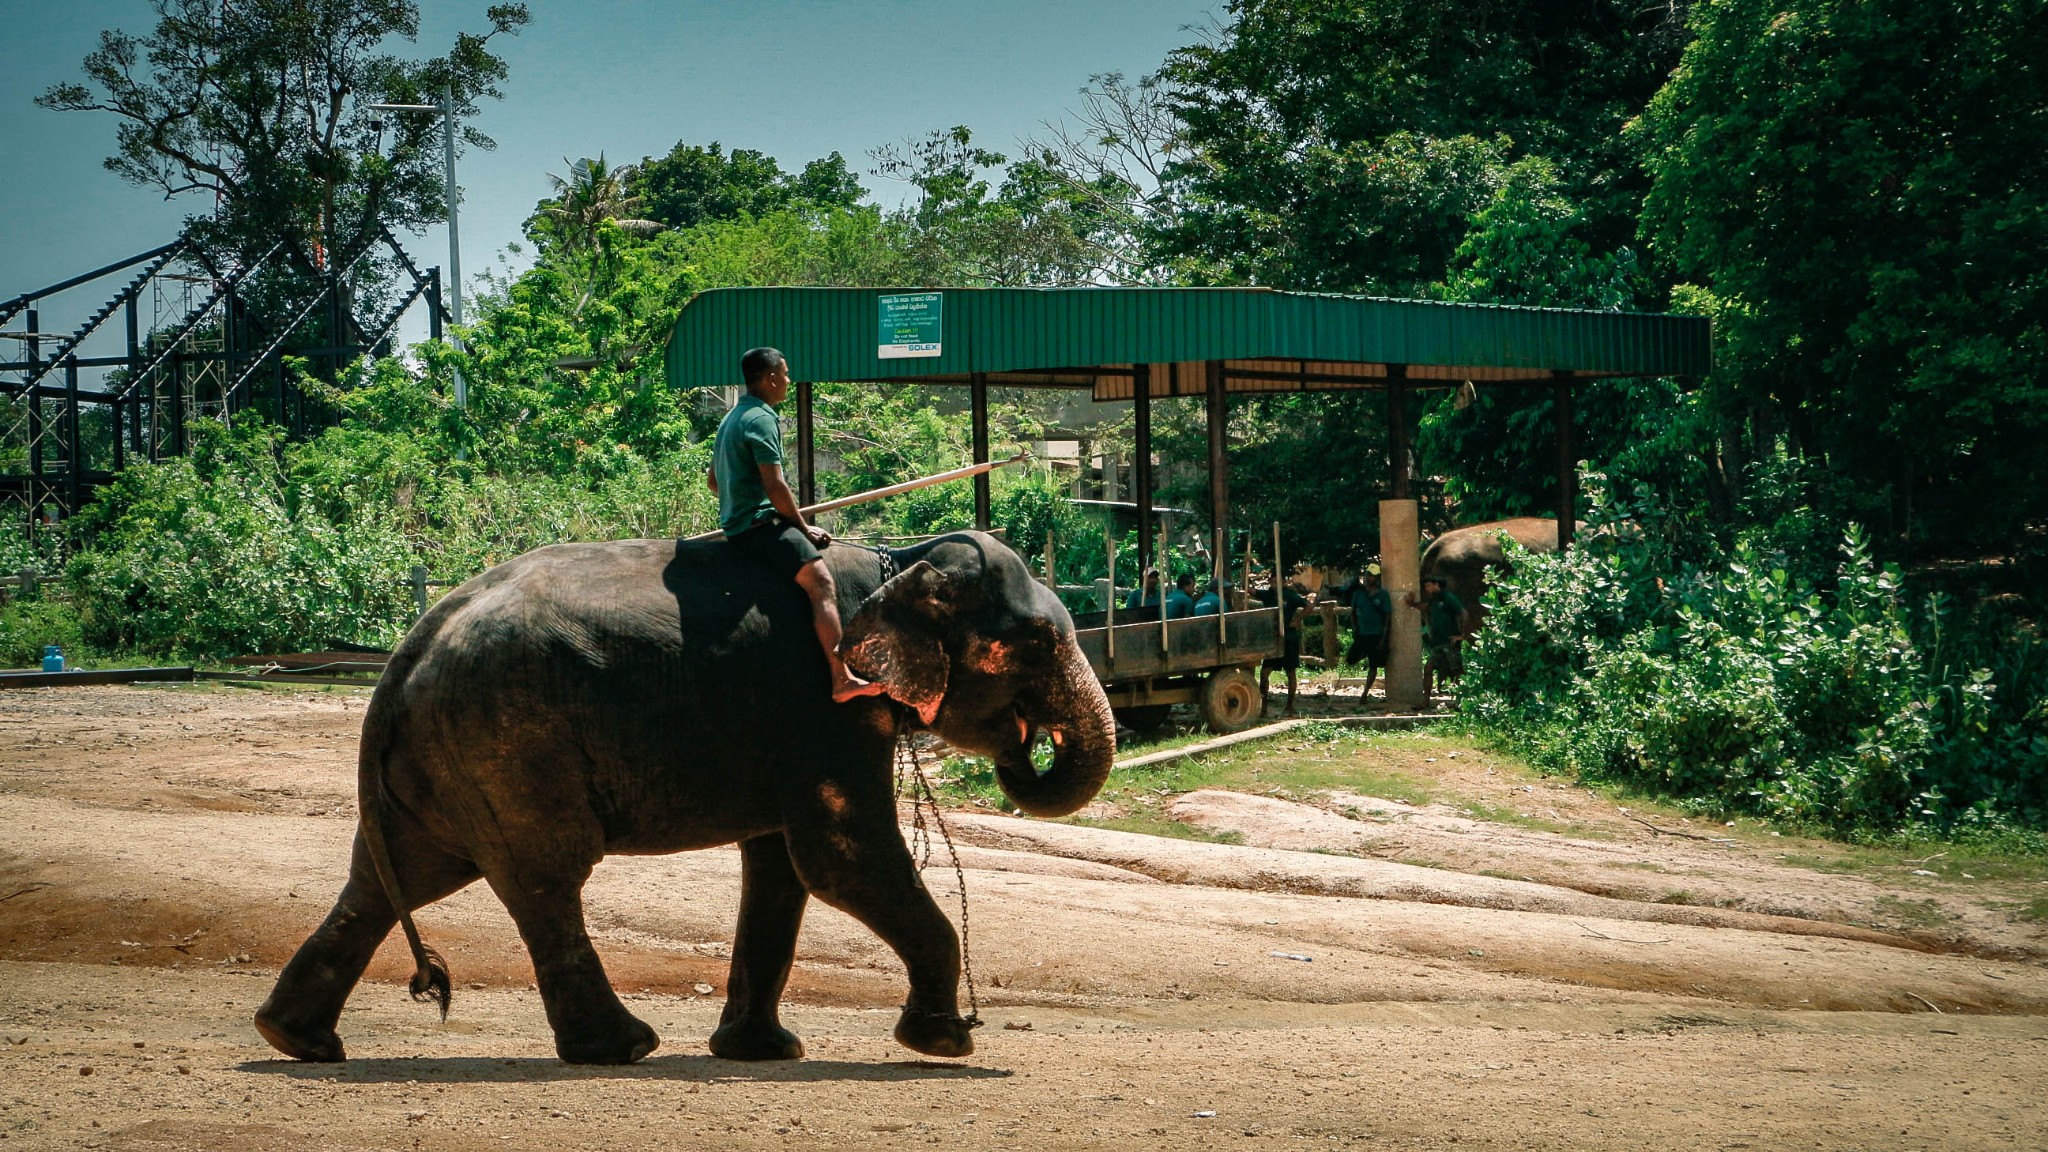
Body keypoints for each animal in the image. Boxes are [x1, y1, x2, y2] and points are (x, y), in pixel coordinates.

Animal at [258, 528, 1130, 1057]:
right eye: (1037, 642)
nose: (1023, 743)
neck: (902, 560)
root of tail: (407, 651)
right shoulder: (828, 703)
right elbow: (841, 857)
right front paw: (945, 1045)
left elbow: (782, 869)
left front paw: (764, 1053)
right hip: (506, 743)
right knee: (544, 880)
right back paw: (623, 1048)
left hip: (441, 760)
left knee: (389, 881)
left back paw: (294, 1041)